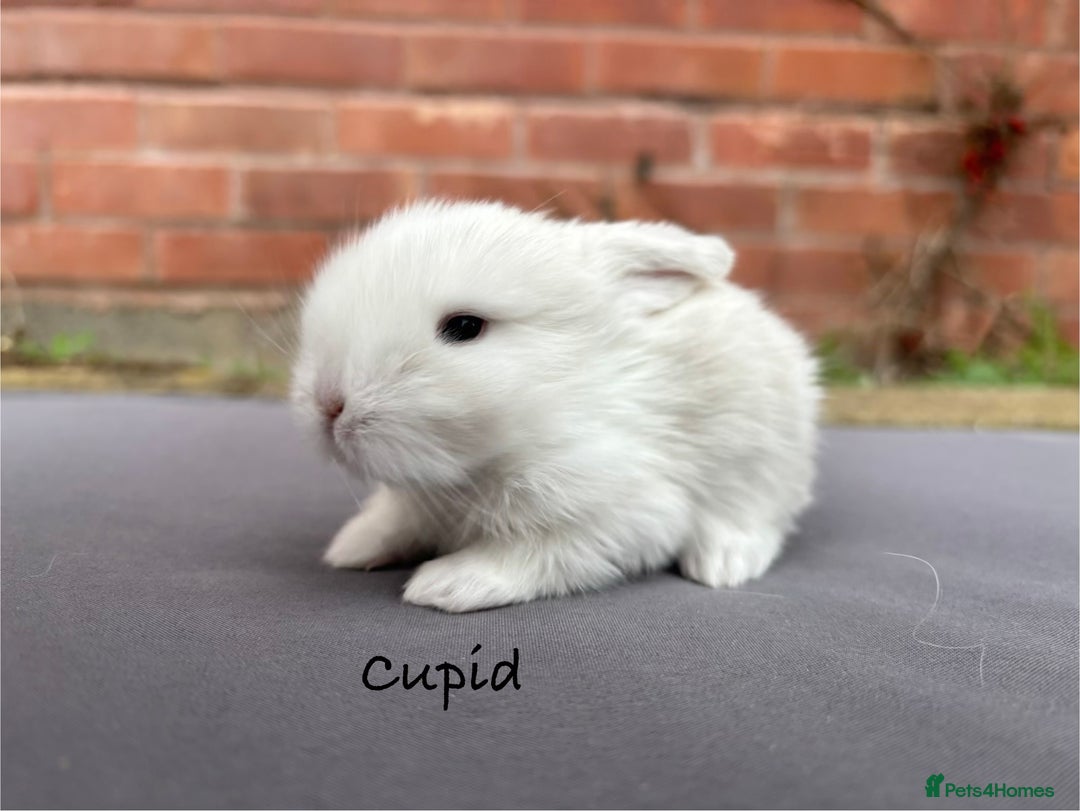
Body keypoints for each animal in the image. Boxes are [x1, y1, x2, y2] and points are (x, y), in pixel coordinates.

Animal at [291, 200, 820, 613]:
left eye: (464, 327)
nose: (329, 404)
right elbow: (394, 522)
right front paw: (351, 547)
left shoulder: (618, 512)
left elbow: (529, 554)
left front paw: (445, 585)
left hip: (761, 468)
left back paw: (723, 564)